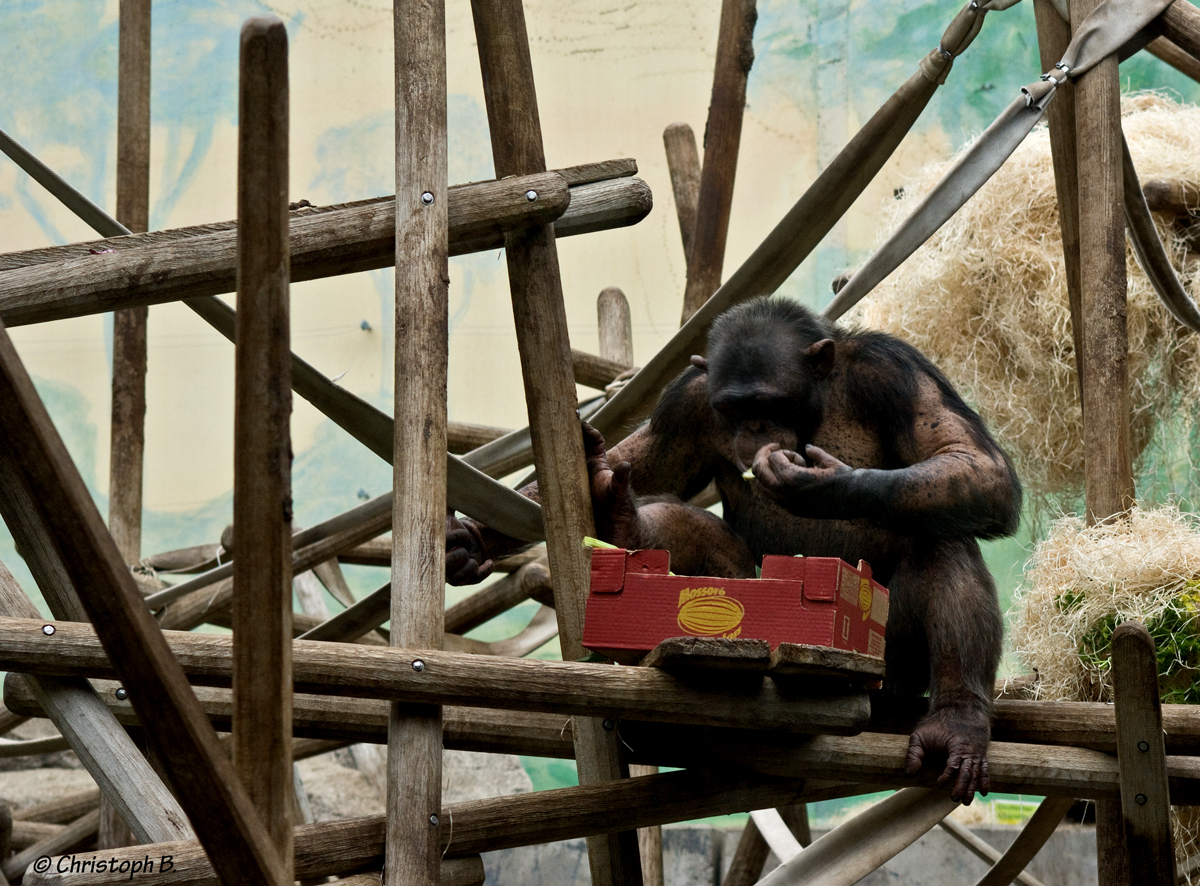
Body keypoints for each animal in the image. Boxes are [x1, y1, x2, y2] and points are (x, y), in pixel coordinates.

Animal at [451, 295, 1022, 801]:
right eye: (732, 407)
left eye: (767, 403)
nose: (753, 427)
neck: (819, 399)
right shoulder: (687, 402)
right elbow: (645, 457)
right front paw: (473, 539)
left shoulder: (897, 373)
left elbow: (973, 462)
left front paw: (820, 485)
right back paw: (625, 522)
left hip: (889, 675)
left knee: (942, 536)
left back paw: (956, 720)